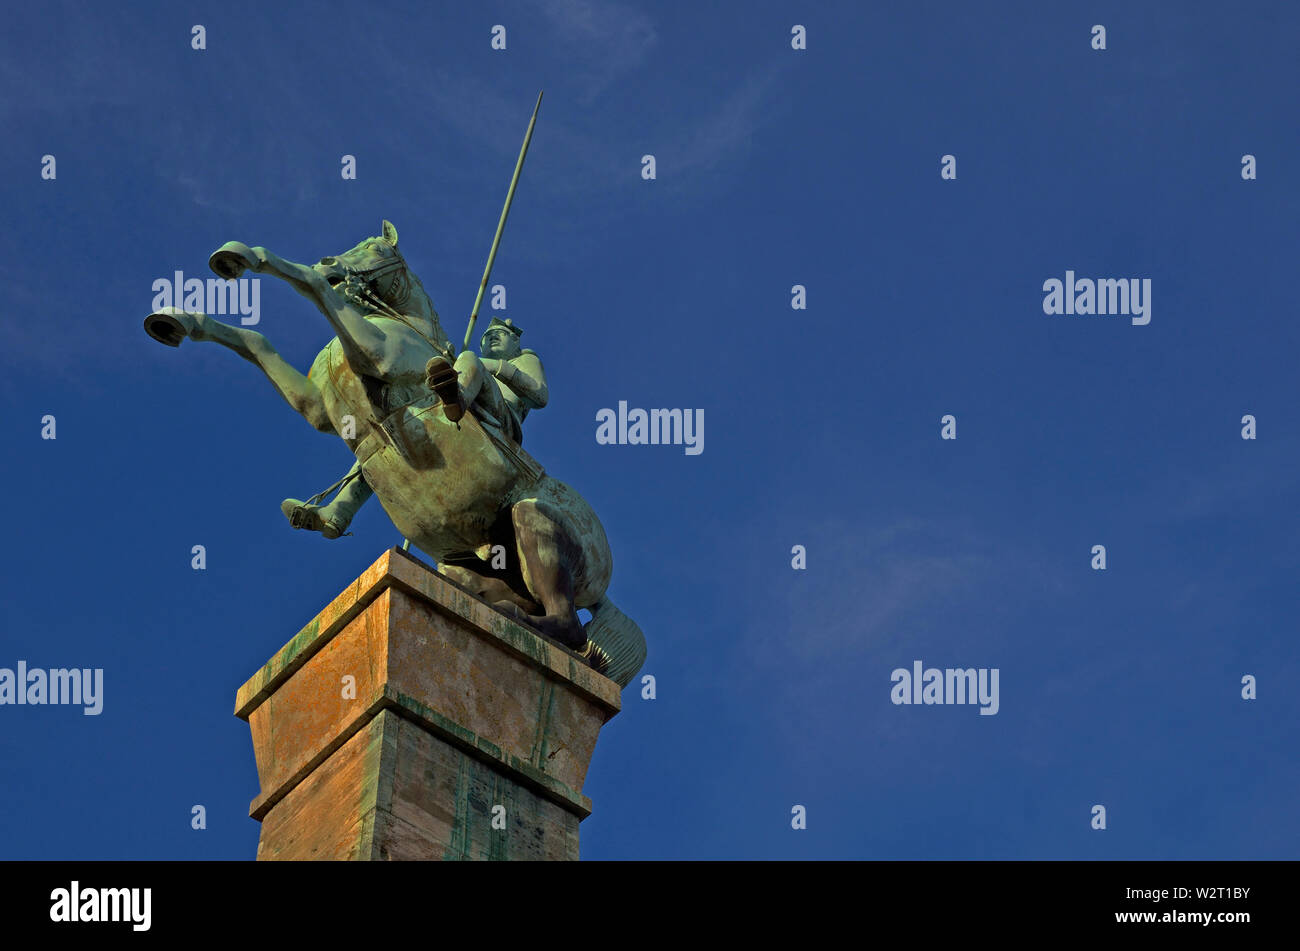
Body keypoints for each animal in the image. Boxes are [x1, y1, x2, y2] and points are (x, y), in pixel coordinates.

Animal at [142, 219, 644, 685]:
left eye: (376, 248)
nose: (332, 263)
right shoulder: (316, 408)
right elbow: (255, 341)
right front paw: (180, 318)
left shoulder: (376, 354)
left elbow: (308, 283)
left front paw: (250, 256)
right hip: (466, 566)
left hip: (534, 517)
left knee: (568, 627)